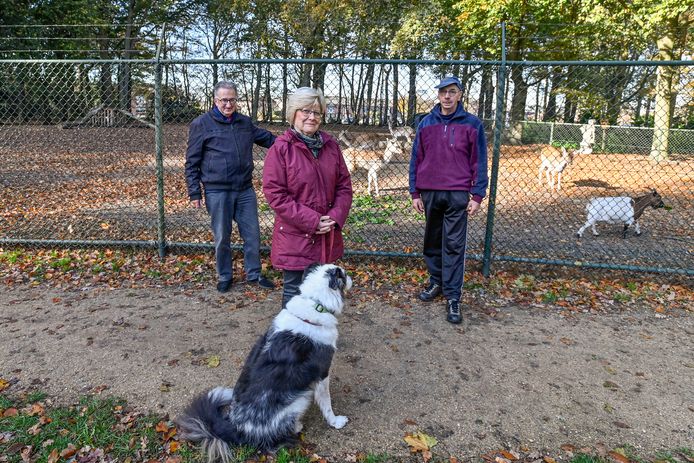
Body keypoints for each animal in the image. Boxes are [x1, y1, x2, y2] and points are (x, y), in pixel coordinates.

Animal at [177, 262, 354, 462]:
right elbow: (327, 403)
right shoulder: (322, 373)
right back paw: (296, 427)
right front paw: (336, 422)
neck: (316, 304)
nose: (351, 277)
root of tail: (237, 429)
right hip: (300, 398)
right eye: (344, 275)